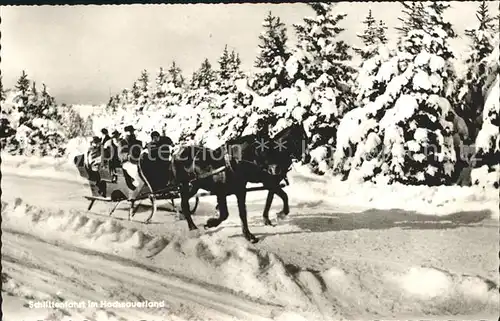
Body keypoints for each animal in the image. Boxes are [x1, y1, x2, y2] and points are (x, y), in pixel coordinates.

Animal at [171, 123, 308, 242]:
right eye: (264, 149)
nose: (276, 169)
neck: (234, 162)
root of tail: (177, 152)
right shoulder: (222, 192)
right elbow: (225, 214)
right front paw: (210, 223)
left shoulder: (242, 190)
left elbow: (244, 212)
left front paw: (249, 235)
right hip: (185, 185)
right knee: (184, 203)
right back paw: (192, 227)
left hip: (194, 185)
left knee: (184, 202)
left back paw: (191, 225)